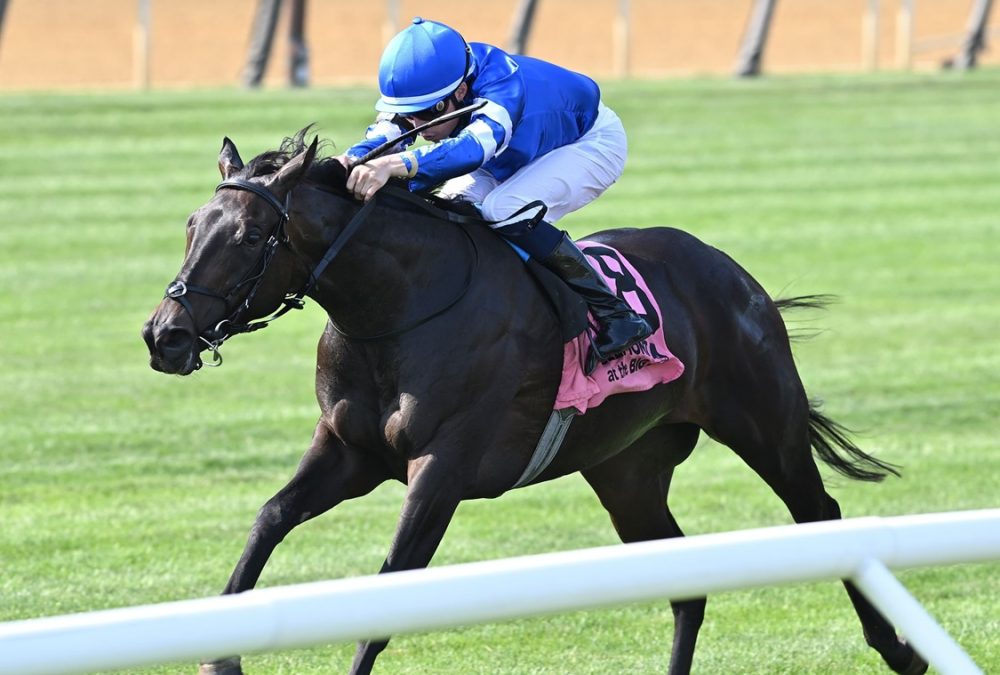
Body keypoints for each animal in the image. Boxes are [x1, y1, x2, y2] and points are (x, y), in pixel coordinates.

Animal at [143, 131, 928, 675]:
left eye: (249, 235)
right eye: (190, 225)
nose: (164, 334)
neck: (397, 308)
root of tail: (735, 275)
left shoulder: (442, 467)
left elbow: (391, 582)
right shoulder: (349, 452)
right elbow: (270, 518)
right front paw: (220, 653)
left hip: (763, 424)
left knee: (820, 513)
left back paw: (899, 647)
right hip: (626, 469)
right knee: (685, 584)